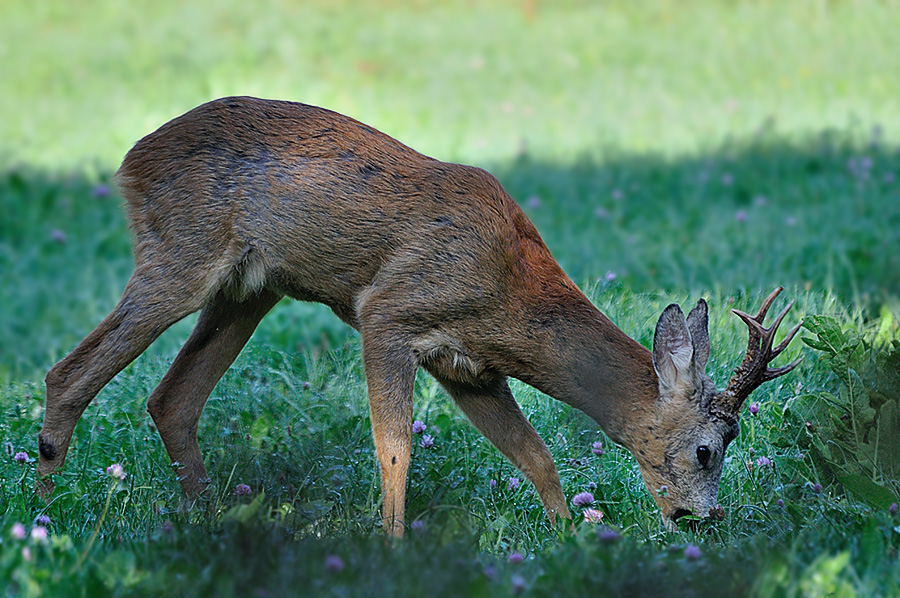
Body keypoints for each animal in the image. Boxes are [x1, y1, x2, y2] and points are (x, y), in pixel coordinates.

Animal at [37, 96, 800, 536]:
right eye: (707, 449)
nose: (705, 517)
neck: (509, 290)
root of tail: (130, 159)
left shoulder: (470, 368)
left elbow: (536, 455)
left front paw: (569, 537)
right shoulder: (388, 314)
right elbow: (394, 446)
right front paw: (393, 543)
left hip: (248, 291)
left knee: (172, 398)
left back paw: (206, 522)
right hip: (180, 256)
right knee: (67, 373)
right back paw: (44, 513)